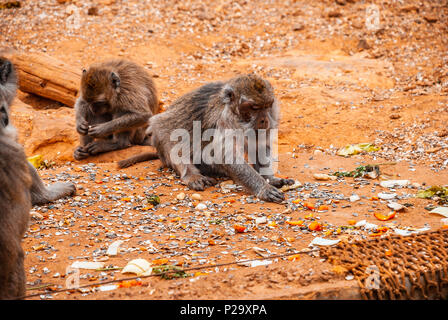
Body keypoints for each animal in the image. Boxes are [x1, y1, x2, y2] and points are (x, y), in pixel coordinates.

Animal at [117, 74, 296, 202]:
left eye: (267, 106)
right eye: (254, 107)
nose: (264, 120)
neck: (236, 116)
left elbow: (259, 146)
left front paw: (270, 179)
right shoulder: (223, 122)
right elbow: (228, 157)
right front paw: (263, 188)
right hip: (159, 133)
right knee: (171, 139)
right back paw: (191, 175)